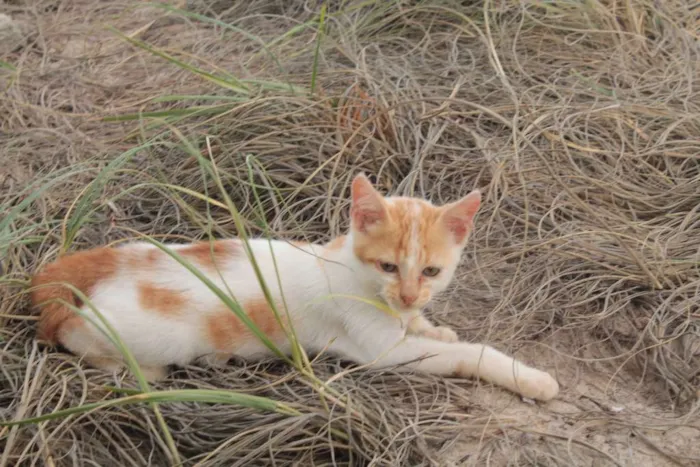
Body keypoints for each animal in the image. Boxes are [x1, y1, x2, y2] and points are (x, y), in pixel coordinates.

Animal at [31, 176, 556, 402]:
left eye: (430, 271)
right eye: (388, 266)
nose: (407, 295)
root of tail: (98, 263)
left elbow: (428, 328)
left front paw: (432, 324)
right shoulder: (381, 351)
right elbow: (471, 353)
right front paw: (530, 377)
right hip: (137, 333)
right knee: (72, 336)